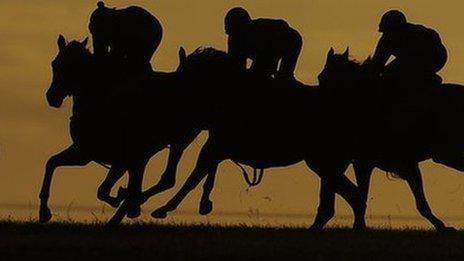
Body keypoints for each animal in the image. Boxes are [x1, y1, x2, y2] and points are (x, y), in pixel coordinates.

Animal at [41, 36, 203, 223]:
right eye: (55, 64)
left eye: (73, 67)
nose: (52, 97)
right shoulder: (86, 153)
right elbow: (52, 163)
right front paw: (44, 212)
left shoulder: (119, 158)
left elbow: (106, 190)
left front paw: (123, 200)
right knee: (165, 179)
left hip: (179, 141)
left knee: (167, 179)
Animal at [147, 46, 368, 230]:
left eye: (183, 76)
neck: (228, 94)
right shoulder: (215, 147)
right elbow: (200, 176)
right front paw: (200, 203)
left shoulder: (215, 147)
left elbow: (193, 178)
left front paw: (163, 209)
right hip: (326, 164)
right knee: (349, 196)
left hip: (324, 163)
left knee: (351, 196)